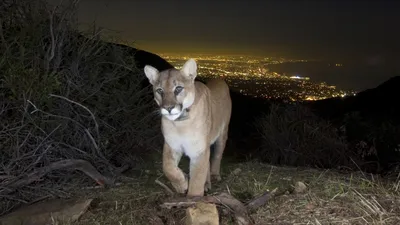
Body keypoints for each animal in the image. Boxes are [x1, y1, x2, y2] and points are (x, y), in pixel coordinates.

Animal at [144, 58, 231, 197]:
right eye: (159, 90)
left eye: (178, 88)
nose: (168, 108)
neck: (181, 123)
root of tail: (219, 79)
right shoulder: (172, 145)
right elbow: (167, 167)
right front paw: (182, 184)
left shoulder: (198, 151)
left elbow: (197, 180)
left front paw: (194, 198)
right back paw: (206, 184)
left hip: (222, 134)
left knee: (217, 155)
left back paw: (214, 175)